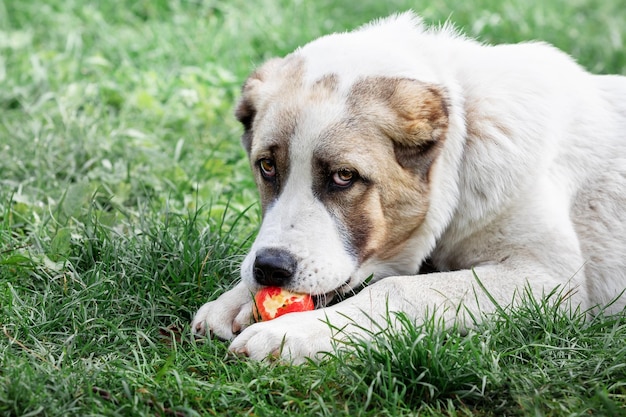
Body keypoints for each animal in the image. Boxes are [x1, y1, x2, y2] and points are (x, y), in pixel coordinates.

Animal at [191, 11, 624, 362]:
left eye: (344, 176)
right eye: (266, 166)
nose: (270, 269)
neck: (463, 155)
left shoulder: (549, 280)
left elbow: (399, 288)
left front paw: (290, 334)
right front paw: (237, 298)